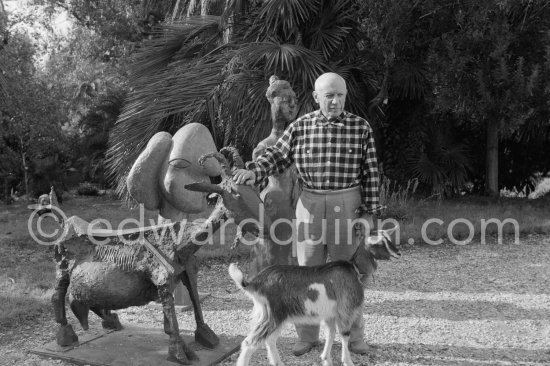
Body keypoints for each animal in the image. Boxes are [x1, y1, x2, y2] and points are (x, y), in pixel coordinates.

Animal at [229, 229, 402, 366]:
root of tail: (255, 282)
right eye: (380, 243)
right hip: (272, 314)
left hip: (276, 315)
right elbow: (345, 335)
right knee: (249, 342)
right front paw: (347, 361)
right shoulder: (345, 311)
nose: (398, 253)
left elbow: (330, 334)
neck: (353, 268)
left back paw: (278, 362)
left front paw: (326, 359)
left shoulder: (331, 314)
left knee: (269, 340)